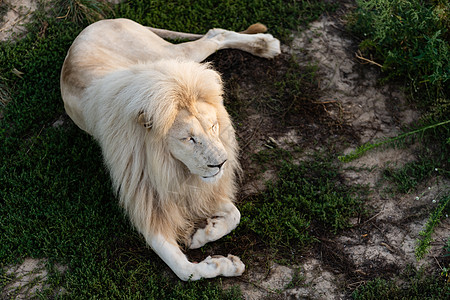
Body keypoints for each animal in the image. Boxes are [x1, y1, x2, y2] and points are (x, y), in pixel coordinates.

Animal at [61, 18, 280, 282]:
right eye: (189, 139)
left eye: (213, 126)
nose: (220, 164)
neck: (172, 167)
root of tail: (100, 22)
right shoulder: (150, 203)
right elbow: (186, 270)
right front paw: (221, 262)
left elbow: (235, 214)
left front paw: (203, 234)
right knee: (214, 35)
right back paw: (265, 45)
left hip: (169, 56)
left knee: (215, 34)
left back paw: (265, 45)